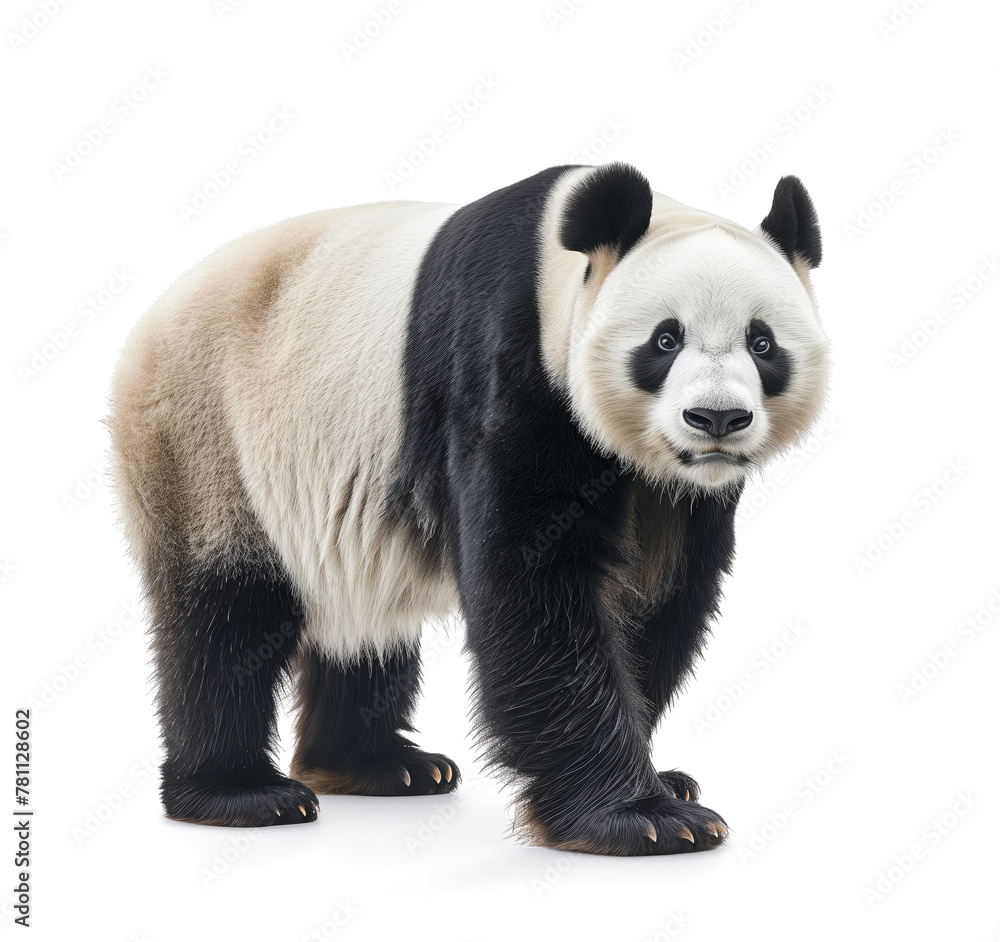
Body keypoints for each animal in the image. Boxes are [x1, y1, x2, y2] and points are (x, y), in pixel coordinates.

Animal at [108, 162, 830, 856]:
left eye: (762, 343)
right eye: (665, 340)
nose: (716, 419)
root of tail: (149, 319)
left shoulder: (677, 492)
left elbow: (656, 600)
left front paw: (661, 782)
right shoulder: (506, 366)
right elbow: (533, 587)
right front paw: (642, 819)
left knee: (362, 619)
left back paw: (376, 766)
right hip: (208, 436)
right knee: (226, 614)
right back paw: (243, 793)